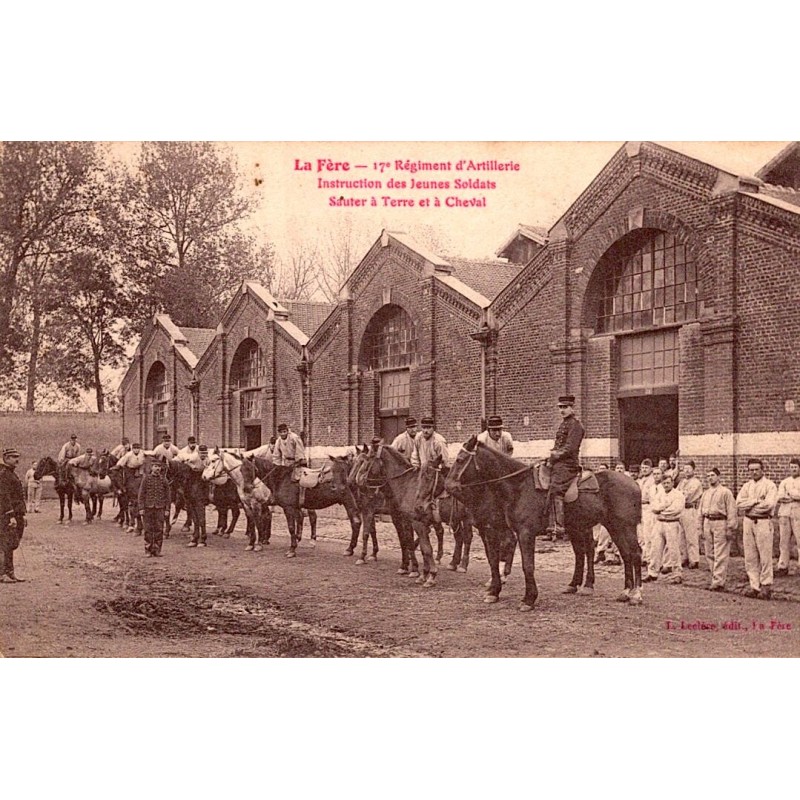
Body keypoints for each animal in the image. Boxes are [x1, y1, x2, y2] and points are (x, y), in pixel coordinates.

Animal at [360, 444, 440, 588]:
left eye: (368, 459)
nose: (360, 482)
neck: (407, 486)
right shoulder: (410, 521)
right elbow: (414, 544)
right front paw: (420, 572)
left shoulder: (414, 522)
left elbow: (423, 547)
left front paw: (428, 574)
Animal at [444, 434, 644, 608]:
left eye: (460, 459)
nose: (448, 486)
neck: (518, 486)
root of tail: (634, 483)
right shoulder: (496, 530)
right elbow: (494, 559)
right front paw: (494, 592)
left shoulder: (524, 533)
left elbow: (527, 565)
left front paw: (529, 599)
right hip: (611, 527)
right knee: (623, 554)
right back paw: (624, 592)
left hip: (624, 527)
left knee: (635, 554)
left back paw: (636, 595)